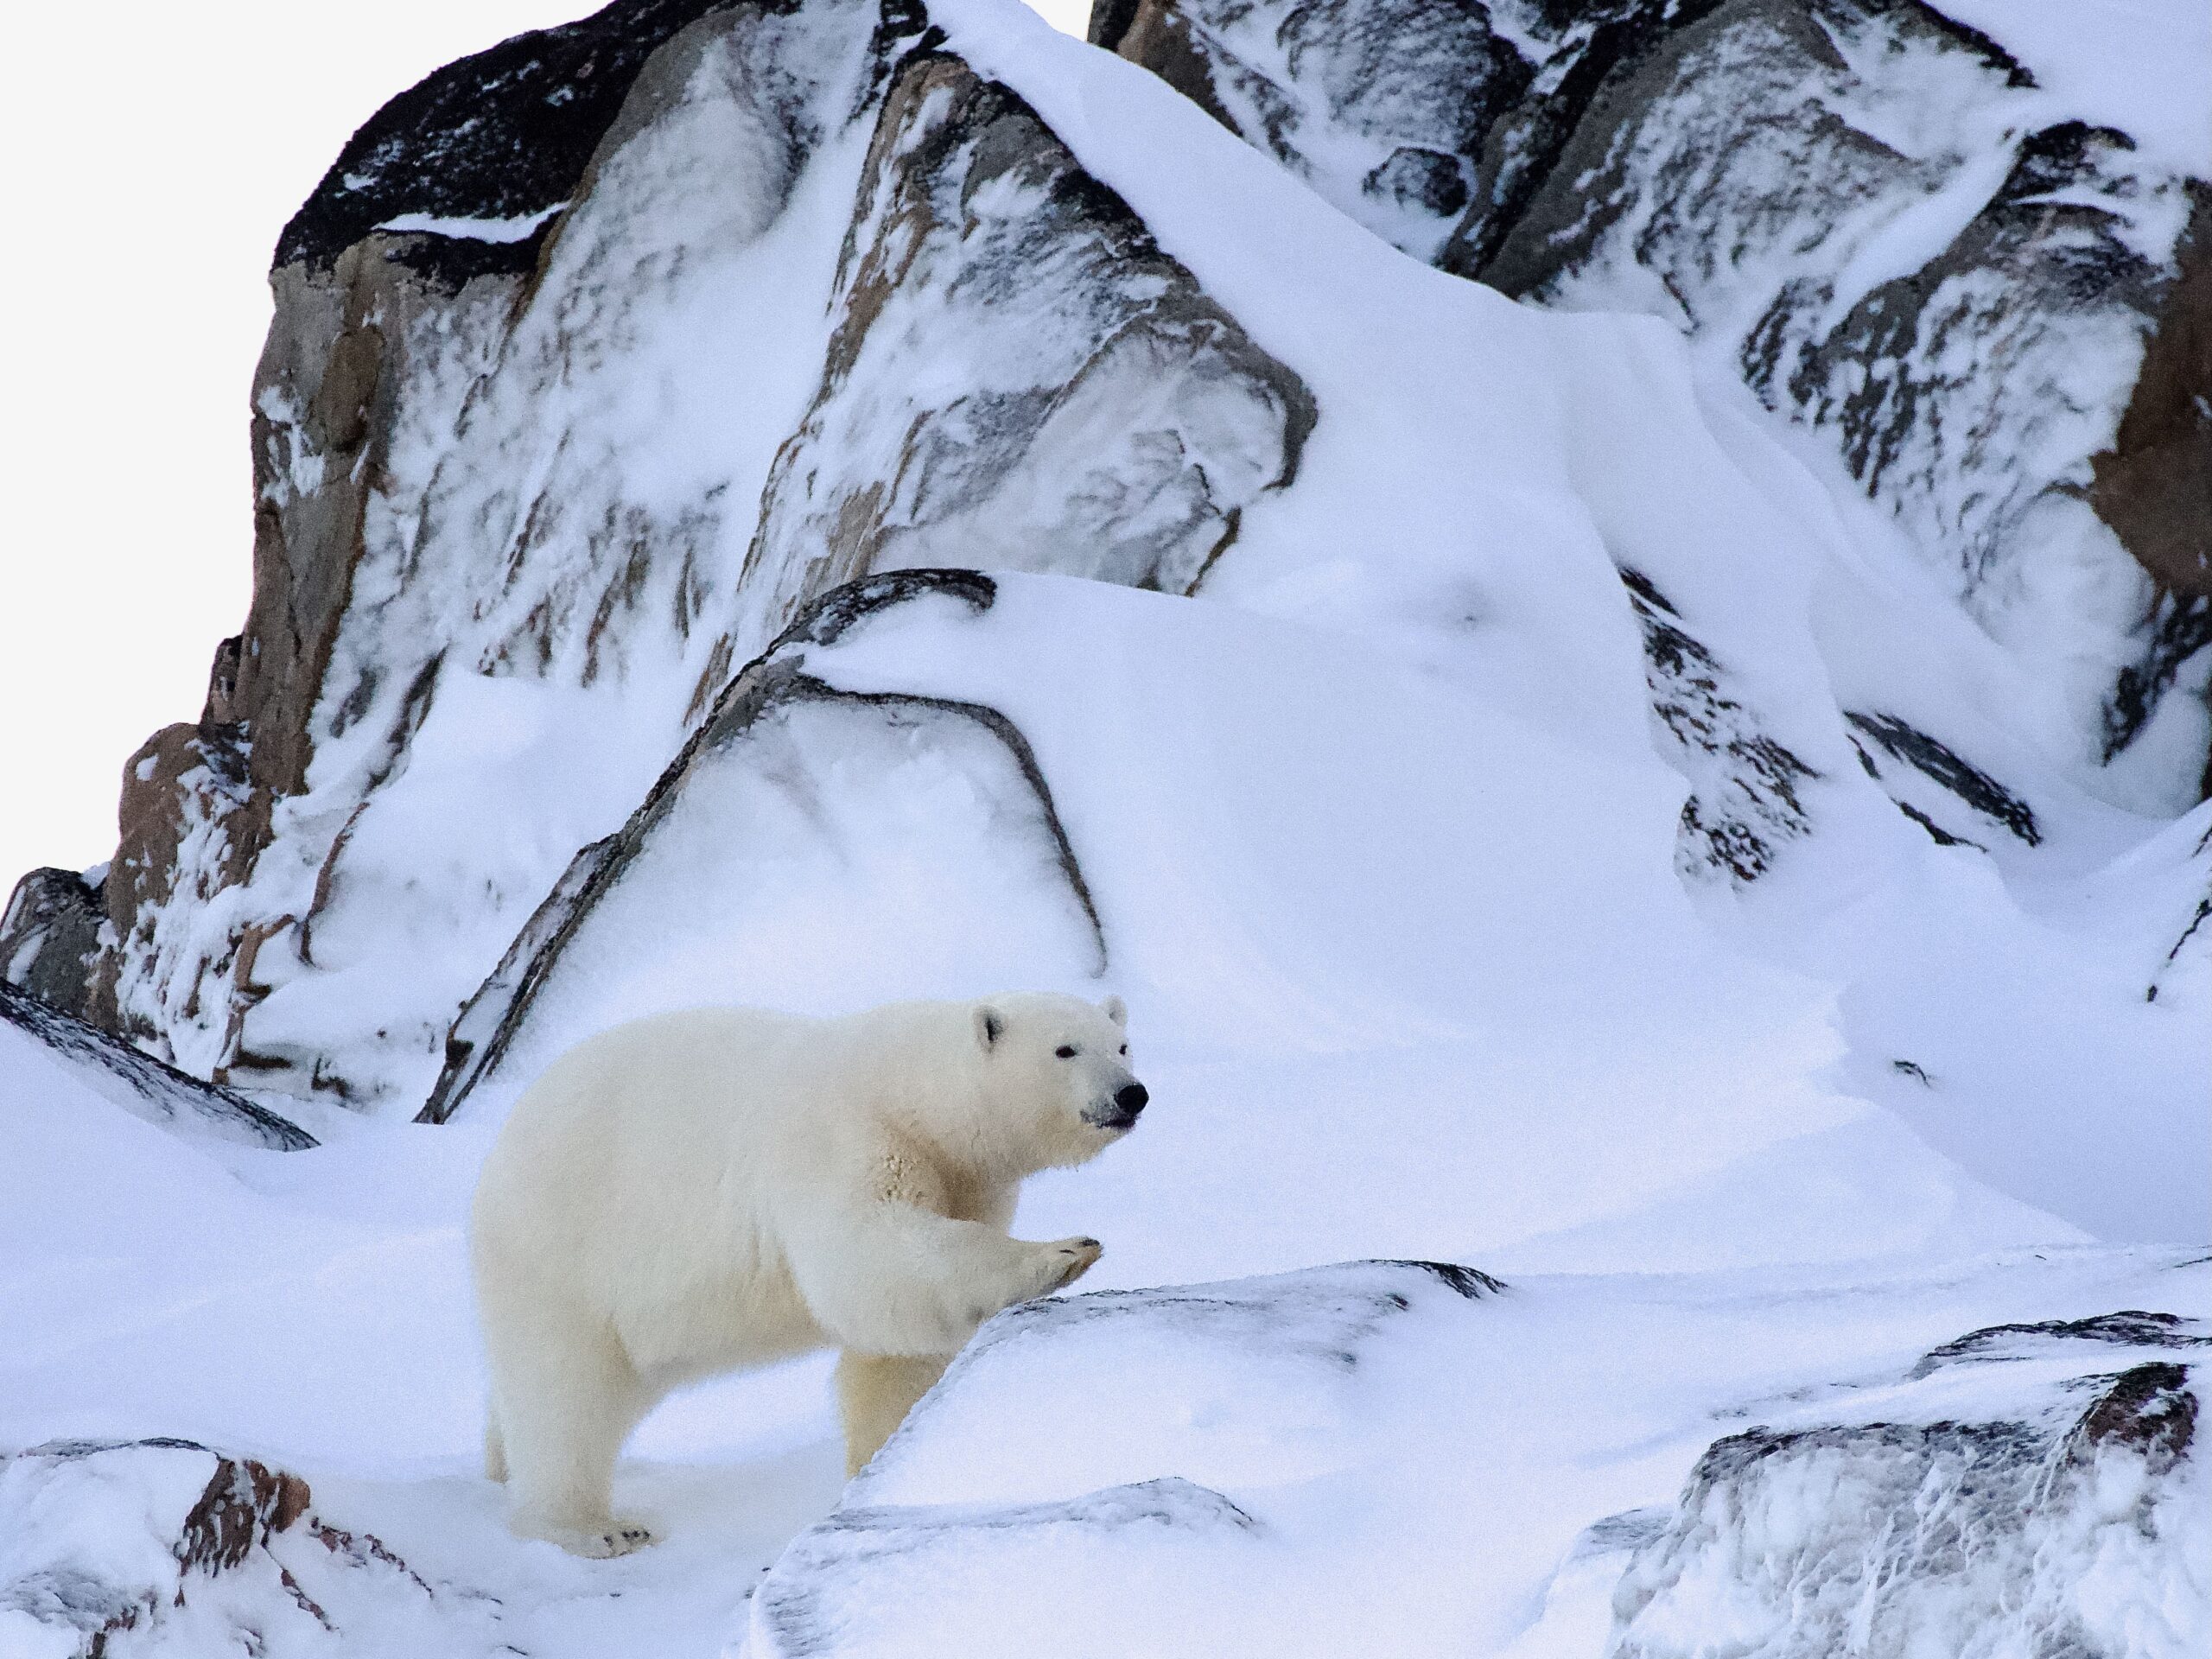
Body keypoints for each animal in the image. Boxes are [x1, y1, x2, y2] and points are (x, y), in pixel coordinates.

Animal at [469, 991, 1146, 1557]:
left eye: (1120, 1044)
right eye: (1065, 1049)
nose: (1131, 1095)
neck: (910, 1095)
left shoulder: (967, 1184)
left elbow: (895, 1353)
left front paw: (883, 1465)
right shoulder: (841, 1145)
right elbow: (871, 1261)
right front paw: (1064, 1252)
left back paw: (500, 1463)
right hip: (566, 1249)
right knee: (565, 1396)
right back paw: (595, 1527)